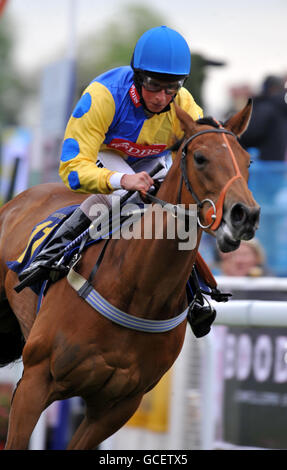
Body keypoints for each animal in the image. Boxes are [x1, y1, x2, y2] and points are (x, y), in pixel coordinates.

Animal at [0, 102, 260, 448]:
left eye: (247, 161)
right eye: (201, 158)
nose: (245, 215)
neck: (138, 290)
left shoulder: (118, 406)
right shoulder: (35, 380)